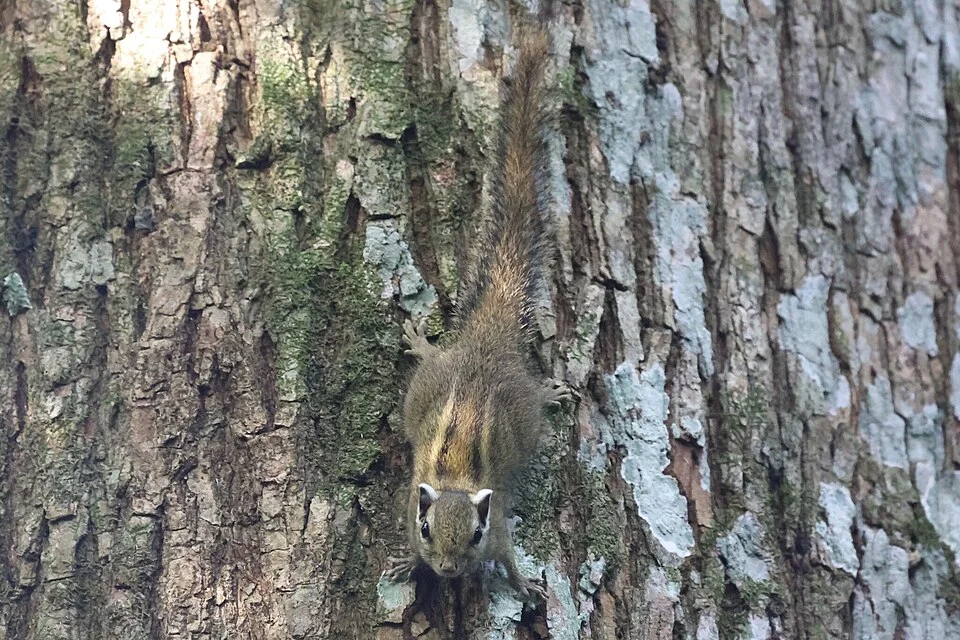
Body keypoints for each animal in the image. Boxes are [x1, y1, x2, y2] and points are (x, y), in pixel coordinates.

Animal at [385, 25, 565, 601]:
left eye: (475, 535)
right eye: (425, 528)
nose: (446, 570)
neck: (458, 481)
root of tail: (487, 343)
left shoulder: (500, 525)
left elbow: (507, 556)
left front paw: (524, 585)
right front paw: (405, 563)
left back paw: (548, 392)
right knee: (431, 357)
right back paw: (421, 343)